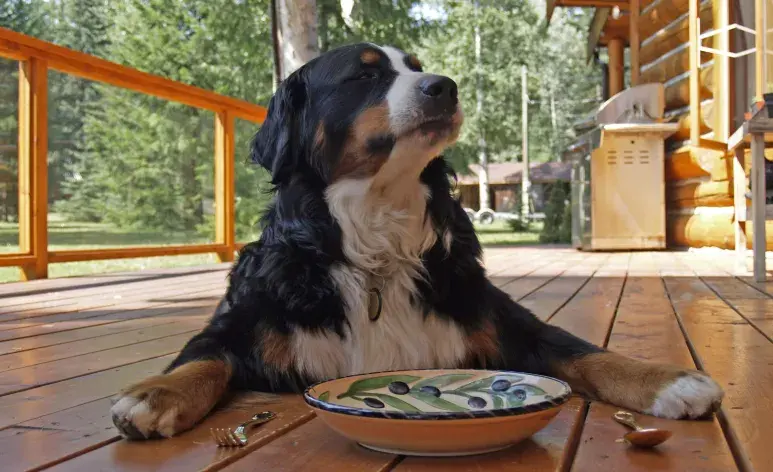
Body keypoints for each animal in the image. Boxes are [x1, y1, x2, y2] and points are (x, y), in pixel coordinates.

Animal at [110, 43, 724, 438]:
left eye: (418, 68)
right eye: (364, 77)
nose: (444, 87)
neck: (376, 243)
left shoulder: (502, 319)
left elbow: (584, 352)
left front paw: (667, 381)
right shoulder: (242, 321)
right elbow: (203, 360)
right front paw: (153, 394)